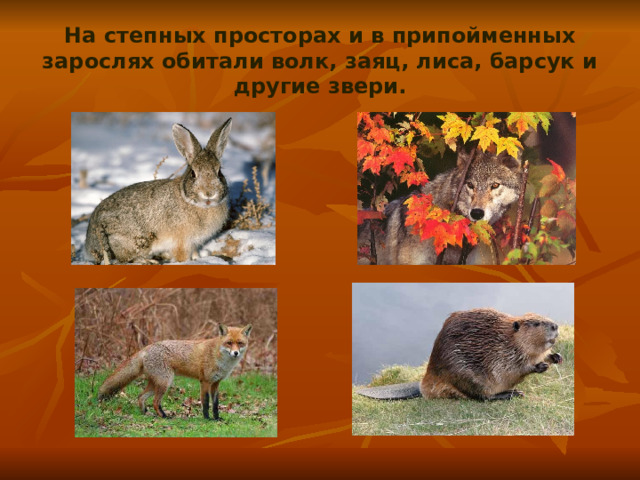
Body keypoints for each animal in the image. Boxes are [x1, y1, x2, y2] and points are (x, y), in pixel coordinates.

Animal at [84, 118, 232, 264]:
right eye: (193, 174)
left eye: (219, 172)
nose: (209, 193)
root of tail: (89, 243)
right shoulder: (182, 242)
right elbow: (182, 256)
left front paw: (198, 259)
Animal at [98, 324, 252, 420]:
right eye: (229, 343)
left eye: (240, 343)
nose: (236, 353)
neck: (220, 358)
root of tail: (147, 347)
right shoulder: (205, 381)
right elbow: (206, 402)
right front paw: (207, 419)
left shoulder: (215, 383)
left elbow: (215, 404)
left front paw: (217, 418)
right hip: (165, 382)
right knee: (155, 402)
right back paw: (164, 416)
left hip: (157, 383)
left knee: (141, 397)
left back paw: (145, 413)